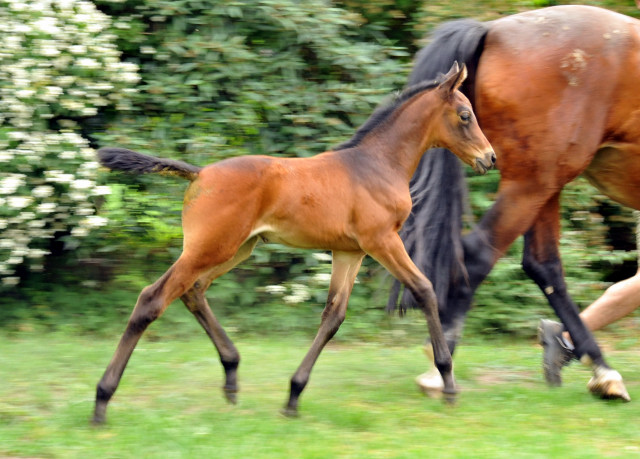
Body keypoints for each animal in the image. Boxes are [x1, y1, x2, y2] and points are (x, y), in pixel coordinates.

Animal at [92, 63, 498, 424]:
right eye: (465, 115)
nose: (490, 158)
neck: (378, 164)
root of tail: (200, 173)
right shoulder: (382, 240)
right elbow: (425, 289)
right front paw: (447, 381)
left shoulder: (350, 251)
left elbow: (334, 315)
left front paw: (293, 395)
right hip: (210, 248)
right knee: (153, 298)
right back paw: (102, 400)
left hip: (236, 249)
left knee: (193, 291)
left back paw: (231, 376)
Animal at [388, 5, 636, 404]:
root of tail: (492, 30)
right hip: (533, 185)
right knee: (479, 253)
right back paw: (440, 369)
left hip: (545, 183)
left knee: (543, 265)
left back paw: (597, 367)